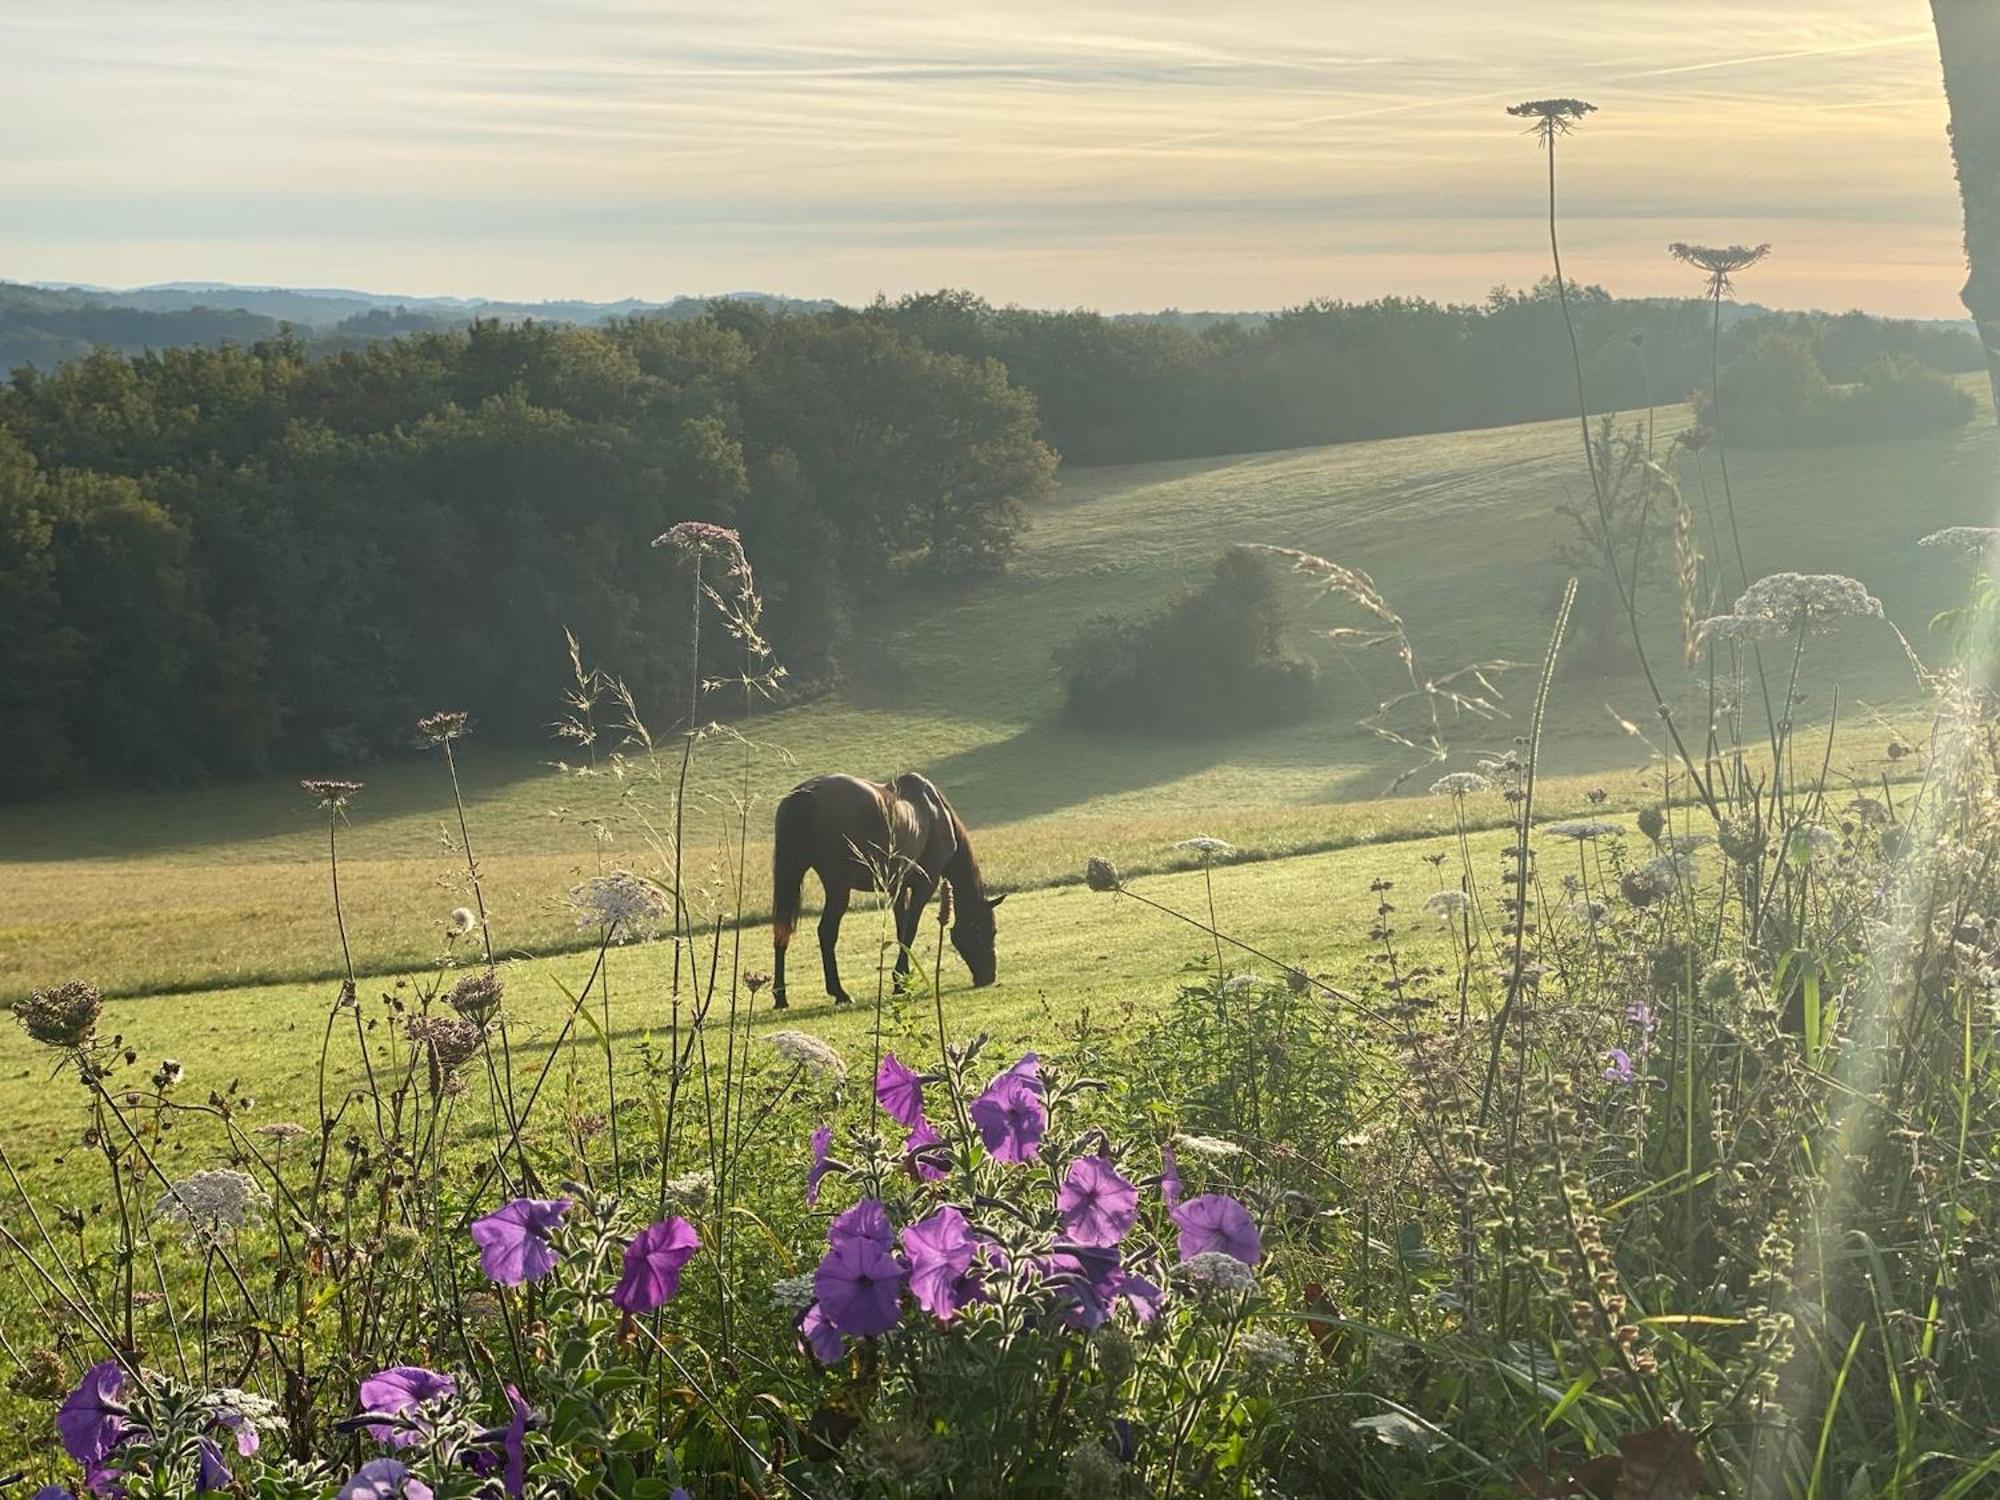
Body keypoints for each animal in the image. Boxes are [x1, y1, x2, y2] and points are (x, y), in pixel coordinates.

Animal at [772, 776, 1008, 1012]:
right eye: (989, 931)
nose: (989, 976)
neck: (936, 813)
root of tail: (807, 793)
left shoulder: (898, 889)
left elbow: (901, 931)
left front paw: (903, 979)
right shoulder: (925, 885)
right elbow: (910, 930)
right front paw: (899, 981)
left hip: (792, 876)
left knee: (782, 931)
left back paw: (780, 996)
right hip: (838, 887)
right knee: (826, 932)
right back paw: (839, 992)